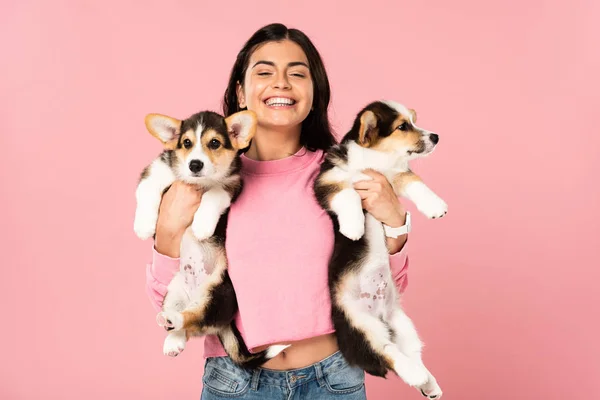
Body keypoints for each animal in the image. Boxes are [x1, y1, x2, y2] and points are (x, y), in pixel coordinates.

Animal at [134, 108, 288, 368]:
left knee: (194, 318)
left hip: (217, 294)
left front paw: (202, 225)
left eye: (214, 143)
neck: (198, 183)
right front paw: (143, 225)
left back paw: (175, 321)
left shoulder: (232, 184)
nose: (195, 164)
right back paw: (172, 339)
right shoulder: (155, 170)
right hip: (173, 292)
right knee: (183, 322)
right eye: (186, 143)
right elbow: (147, 190)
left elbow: (215, 192)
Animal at [314, 100, 446, 396]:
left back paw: (427, 382)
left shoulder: (393, 178)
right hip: (361, 326)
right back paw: (416, 375)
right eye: (403, 126)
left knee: (407, 352)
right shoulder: (327, 181)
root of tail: (381, 317)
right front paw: (353, 227)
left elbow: (415, 181)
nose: (436, 137)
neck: (372, 161)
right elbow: (347, 192)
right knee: (386, 352)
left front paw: (436, 206)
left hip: (403, 325)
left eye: (413, 120)